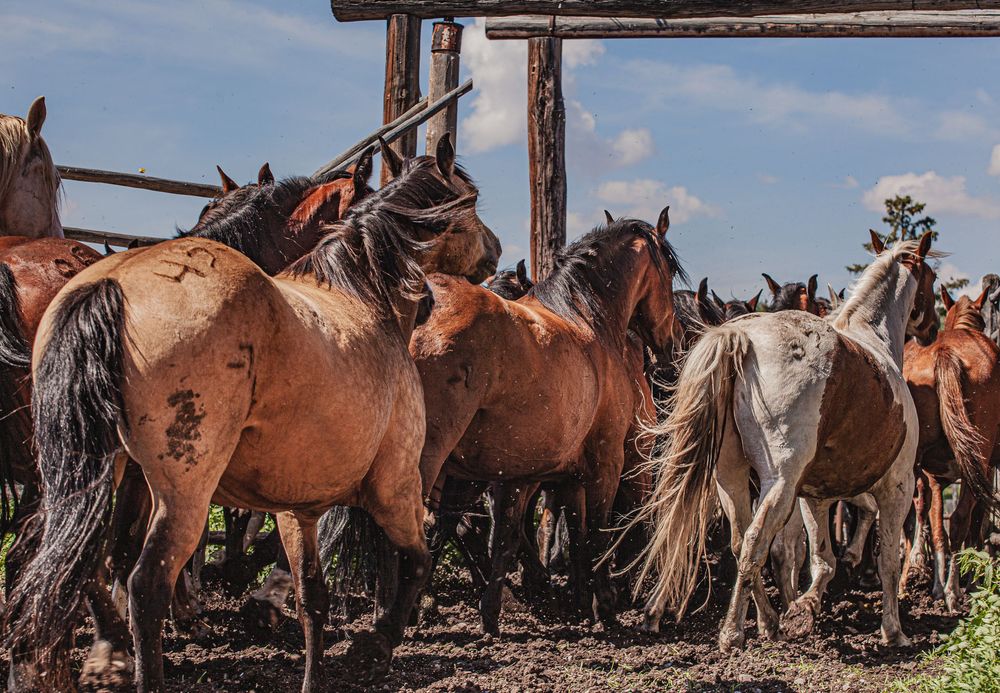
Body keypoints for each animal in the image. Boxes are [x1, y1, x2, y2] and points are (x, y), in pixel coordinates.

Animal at [407, 208, 682, 634]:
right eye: (669, 269)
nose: (670, 347)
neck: (587, 319)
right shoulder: (608, 461)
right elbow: (597, 532)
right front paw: (604, 604)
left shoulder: (527, 472)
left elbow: (511, 537)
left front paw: (496, 613)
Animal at [633, 231, 938, 652]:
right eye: (933, 279)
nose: (934, 328)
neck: (874, 340)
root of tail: (741, 337)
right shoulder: (897, 486)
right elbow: (886, 560)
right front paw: (893, 631)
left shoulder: (816, 494)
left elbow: (822, 559)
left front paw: (803, 609)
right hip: (778, 481)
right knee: (755, 542)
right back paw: (733, 632)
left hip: (731, 479)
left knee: (740, 541)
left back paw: (767, 622)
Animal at [901, 286, 1000, 611]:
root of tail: (946, 353)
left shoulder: (935, 475)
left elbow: (936, 523)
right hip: (976, 460)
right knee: (955, 521)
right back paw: (952, 589)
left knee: (930, 518)